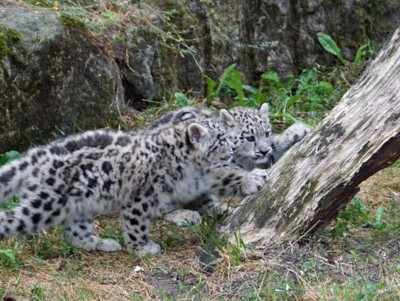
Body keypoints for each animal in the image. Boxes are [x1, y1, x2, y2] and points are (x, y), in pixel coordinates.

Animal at [0, 117, 268, 253]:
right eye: (220, 139)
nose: (233, 148)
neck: (189, 167)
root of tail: (37, 155)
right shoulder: (141, 196)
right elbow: (136, 223)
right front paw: (142, 247)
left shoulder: (203, 178)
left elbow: (227, 176)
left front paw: (253, 179)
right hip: (48, 204)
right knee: (12, 218)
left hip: (80, 205)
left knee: (74, 233)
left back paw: (102, 243)